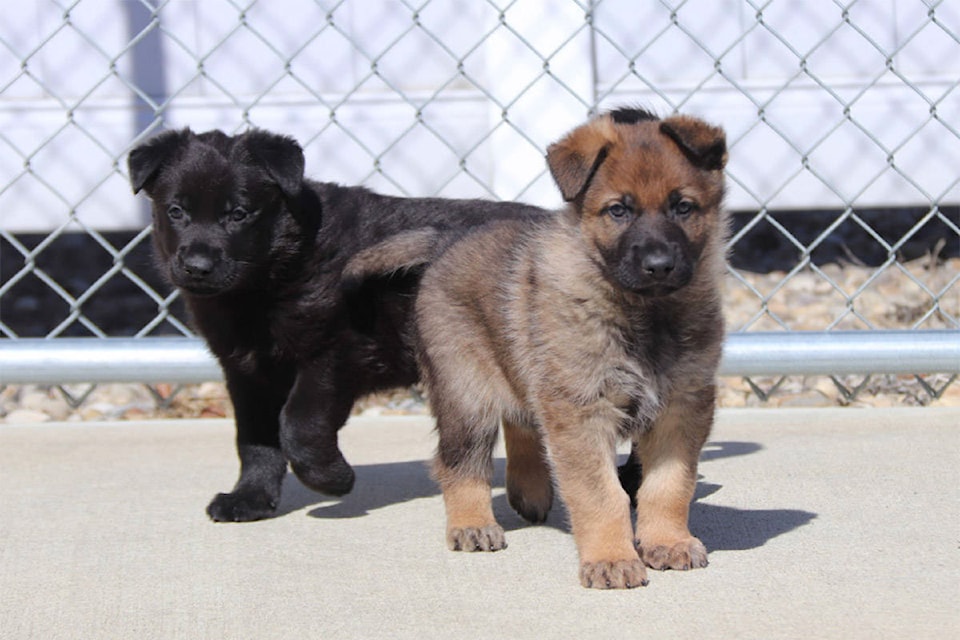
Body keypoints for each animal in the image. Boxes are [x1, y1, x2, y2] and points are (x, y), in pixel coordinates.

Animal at [128, 127, 548, 524]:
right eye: (176, 211)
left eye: (239, 214)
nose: (197, 266)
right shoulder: (247, 373)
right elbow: (254, 438)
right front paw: (251, 498)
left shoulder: (339, 353)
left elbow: (298, 424)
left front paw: (333, 479)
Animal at [344, 107, 728, 588]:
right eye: (618, 210)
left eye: (684, 207)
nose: (659, 266)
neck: (645, 314)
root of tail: (447, 243)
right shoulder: (582, 411)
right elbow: (602, 494)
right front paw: (611, 558)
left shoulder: (682, 407)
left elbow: (669, 484)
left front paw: (668, 541)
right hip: (465, 396)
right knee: (459, 461)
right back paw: (472, 522)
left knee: (523, 418)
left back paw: (528, 488)